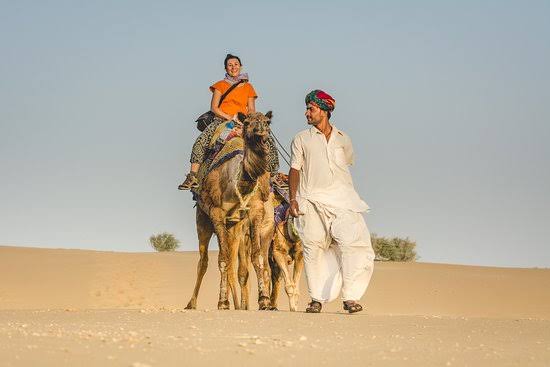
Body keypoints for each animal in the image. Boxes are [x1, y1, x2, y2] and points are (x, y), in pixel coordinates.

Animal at [187, 111, 276, 310]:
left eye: (267, 122)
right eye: (248, 123)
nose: (260, 132)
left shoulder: (256, 212)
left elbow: (257, 257)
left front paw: (264, 300)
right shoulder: (216, 213)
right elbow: (223, 260)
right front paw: (222, 302)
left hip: (234, 226)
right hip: (203, 218)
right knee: (203, 261)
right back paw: (191, 303)